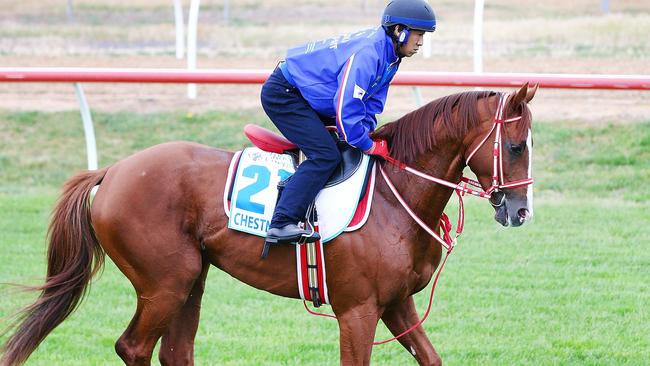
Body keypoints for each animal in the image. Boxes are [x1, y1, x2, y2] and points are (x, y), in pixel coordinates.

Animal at [0, 83, 536, 366]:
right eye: (514, 146)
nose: (520, 211)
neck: (394, 195)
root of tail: (112, 171)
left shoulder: (397, 304)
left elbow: (431, 357)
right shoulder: (358, 310)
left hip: (191, 280)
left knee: (175, 352)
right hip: (165, 281)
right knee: (133, 346)